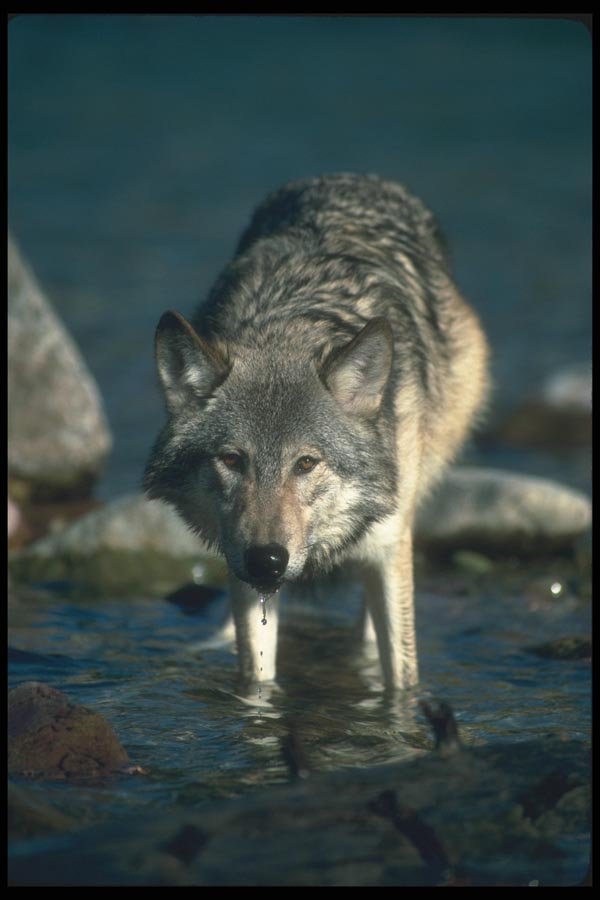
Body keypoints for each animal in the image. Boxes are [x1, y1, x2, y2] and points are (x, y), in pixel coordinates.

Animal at [144, 173, 489, 691]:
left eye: (306, 463)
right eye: (232, 460)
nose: (267, 560)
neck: (288, 328)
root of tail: (356, 177)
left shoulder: (387, 548)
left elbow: (402, 675)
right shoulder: (243, 570)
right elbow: (257, 679)